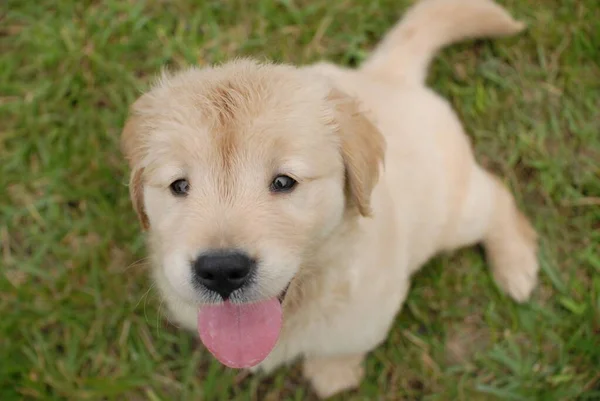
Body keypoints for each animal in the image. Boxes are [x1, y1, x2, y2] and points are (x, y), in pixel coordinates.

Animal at [120, 0, 540, 396]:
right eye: (179, 186)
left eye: (284, 182)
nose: (222, 270)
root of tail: (384, 75)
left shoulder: (367, 309)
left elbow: (340, 345)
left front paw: (333, 375)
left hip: (451, 212)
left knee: (496, 195)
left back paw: (516, 267)